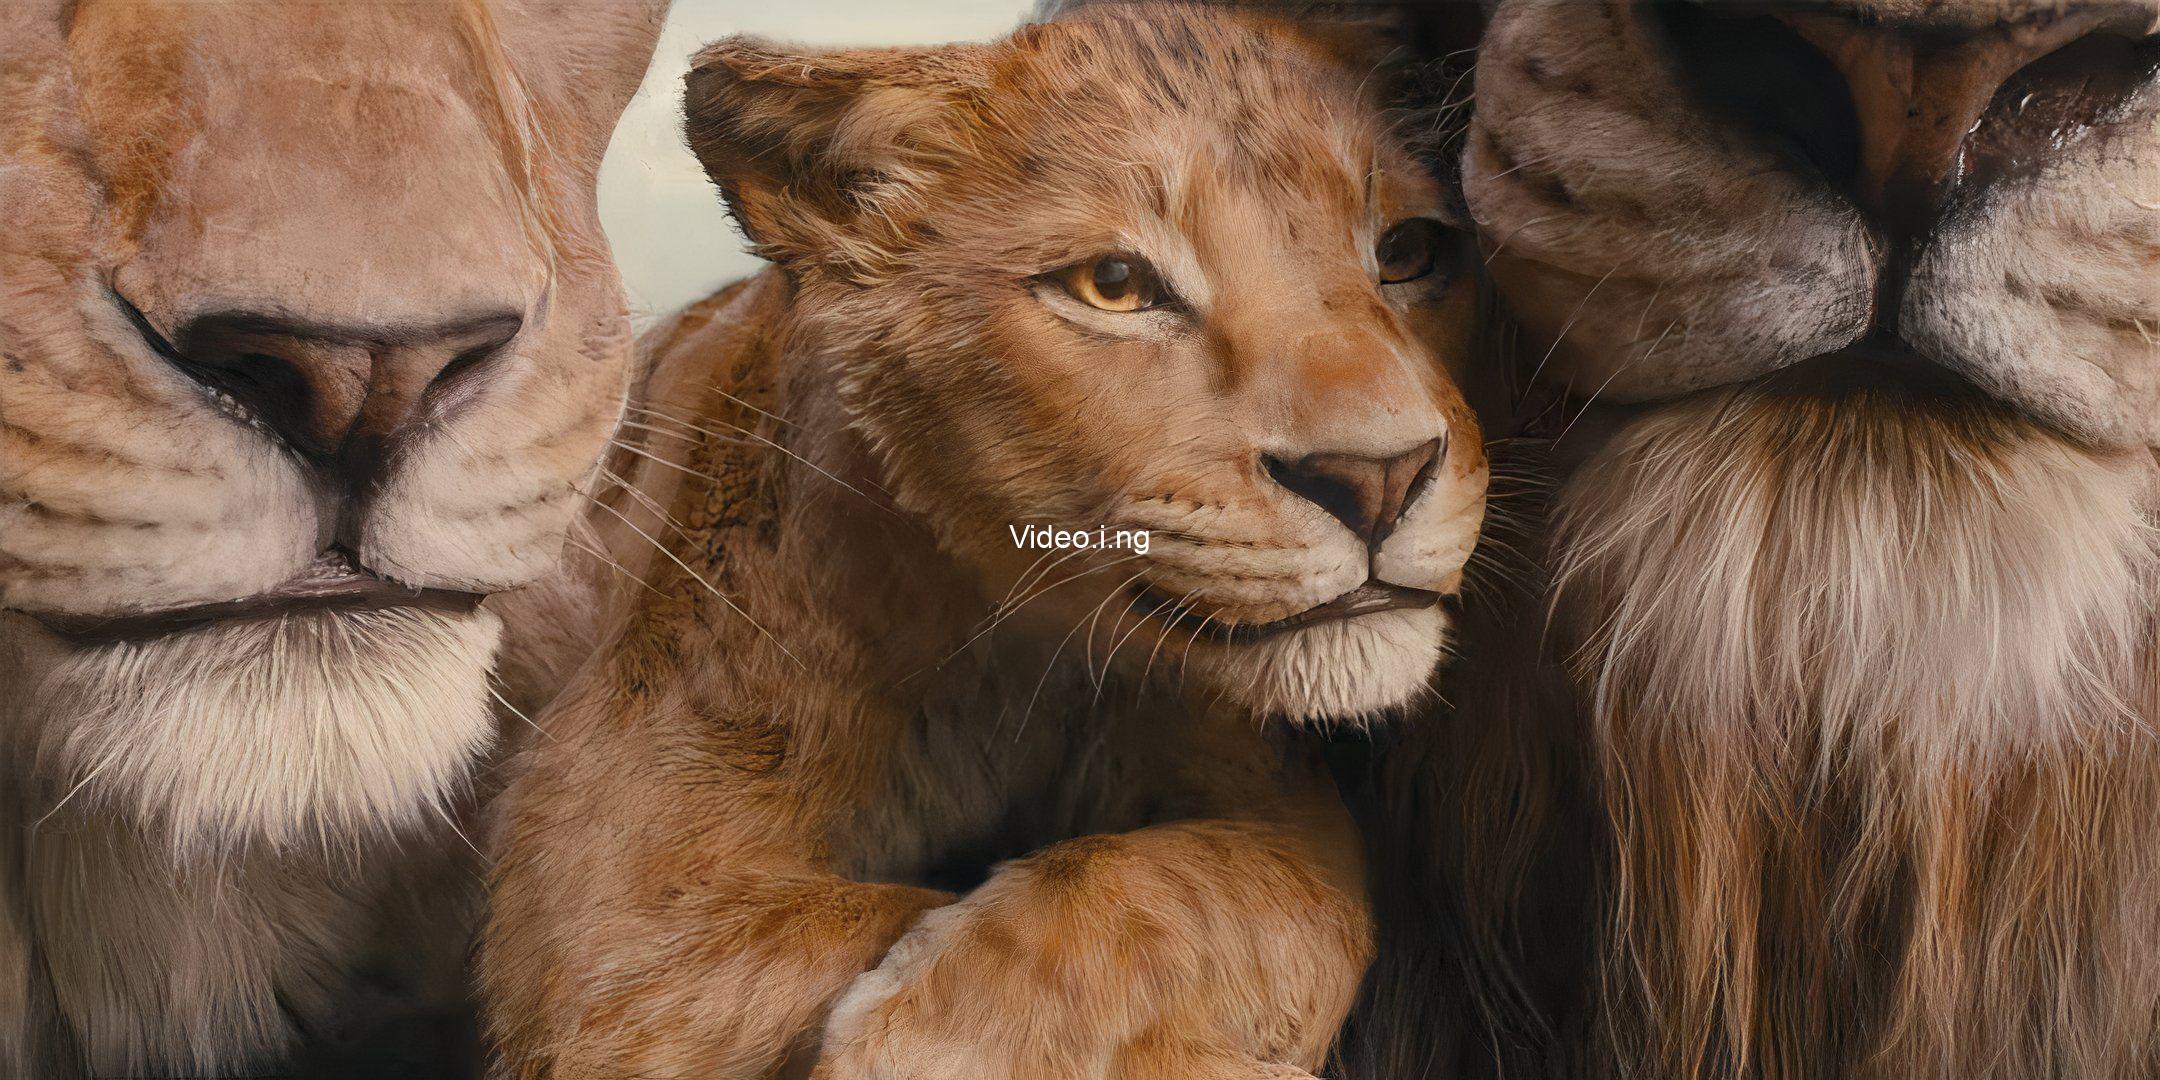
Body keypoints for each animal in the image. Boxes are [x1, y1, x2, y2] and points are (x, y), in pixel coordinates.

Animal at [477, 6, 1489, 1077]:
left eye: (1410, 250)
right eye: (1115, 285)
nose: (1379, 479)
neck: (1016, 656)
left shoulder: (1277, 804)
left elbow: (1240, 894)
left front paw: (954, 1026)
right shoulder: (612, 912)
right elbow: (865, 915)